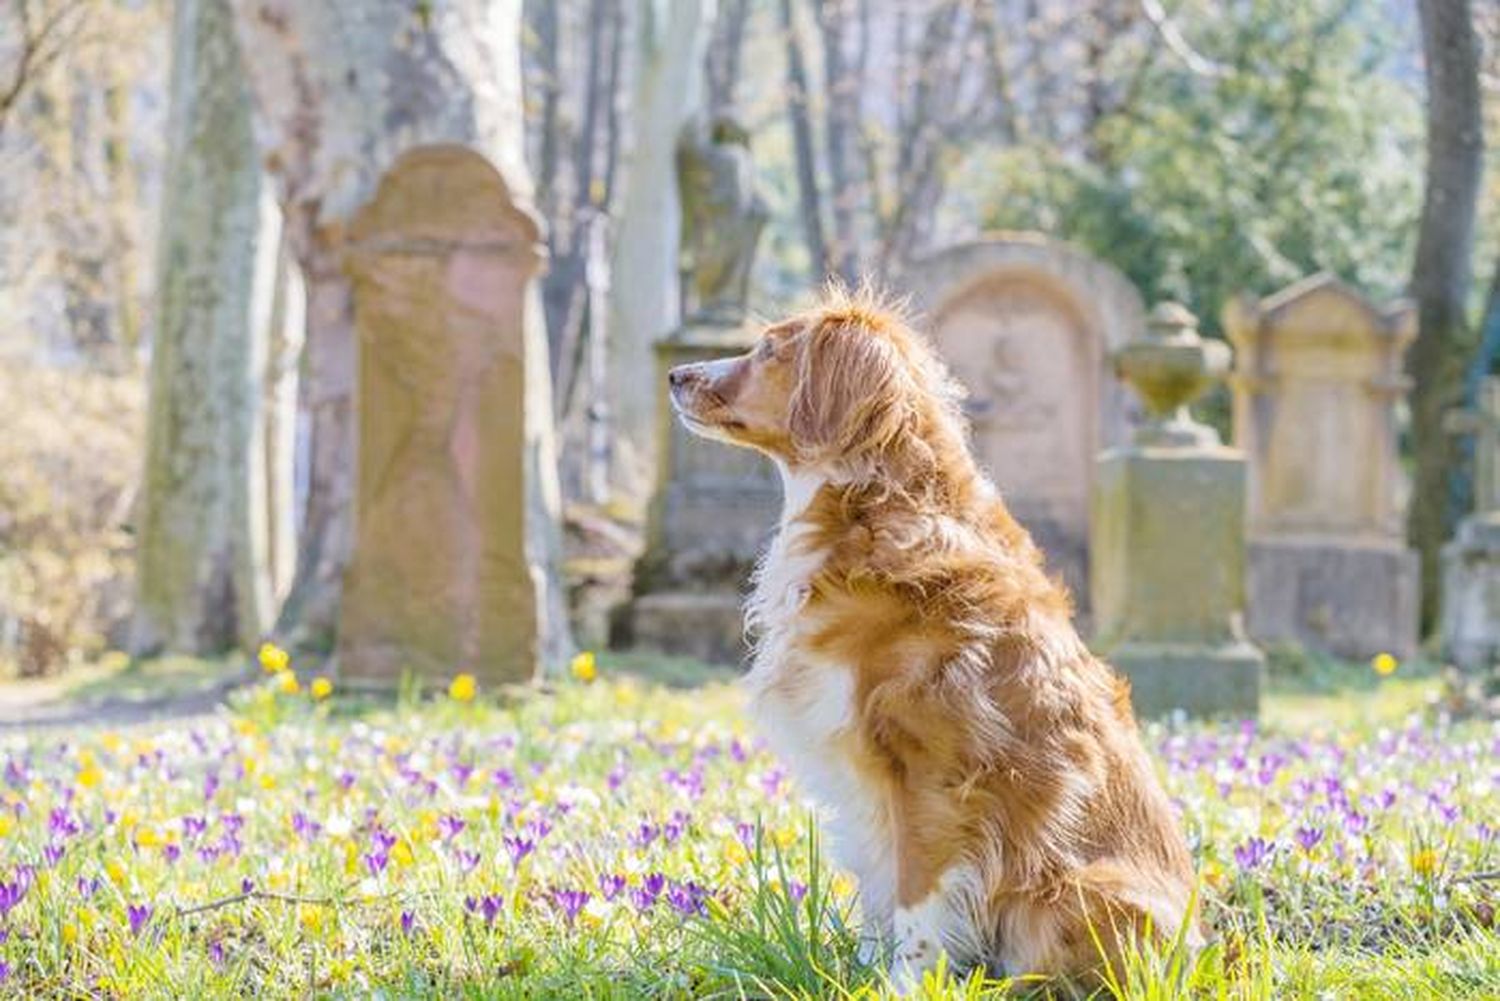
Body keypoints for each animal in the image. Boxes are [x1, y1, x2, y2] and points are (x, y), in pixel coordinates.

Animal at [669, 285, 1194, 990]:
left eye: (770, 350)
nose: (676, 374)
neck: (868, 507)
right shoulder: (866, 777)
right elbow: (878, 888)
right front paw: (859, 975)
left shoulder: (935, 772)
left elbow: (917, 898)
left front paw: (904, 986)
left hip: (1075, 891)